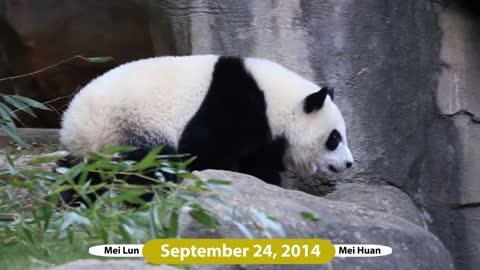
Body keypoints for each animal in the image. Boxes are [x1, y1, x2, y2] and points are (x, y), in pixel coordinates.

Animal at [59, 54, 352, 191]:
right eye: (334, 138)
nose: (349, 163)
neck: (274, 100)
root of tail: (74, 125)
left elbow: (257, 159)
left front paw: (266, 178)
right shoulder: (232, 107)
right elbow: (206, 152)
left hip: (98, 146)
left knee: (80, 176)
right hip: (130, 125)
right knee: (149, 167)